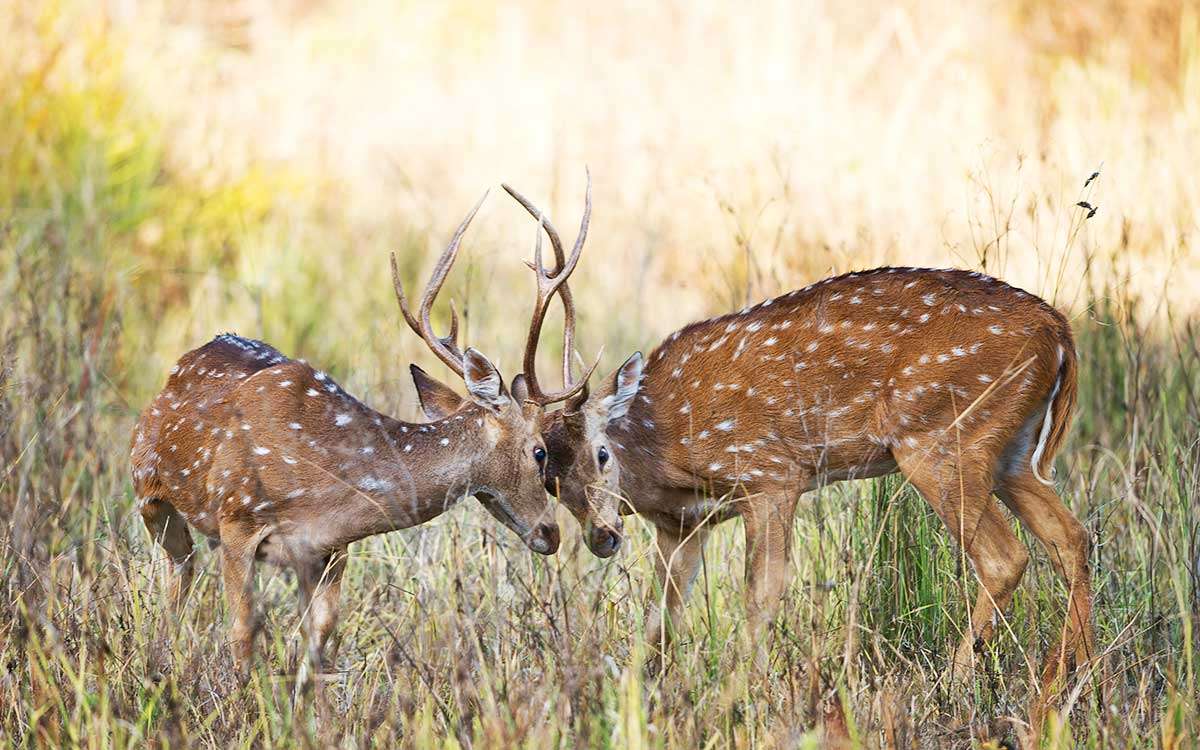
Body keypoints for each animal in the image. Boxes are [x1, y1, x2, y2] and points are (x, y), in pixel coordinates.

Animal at [131, 195, 585, 676]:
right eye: (540, 452)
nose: (552, 533)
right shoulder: (237, 519)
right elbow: (242, 632)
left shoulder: (331, 548)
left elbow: (321, 637)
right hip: (148, 491)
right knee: (180, 572)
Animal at [412, 181, 1099, 696]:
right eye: (549, 474)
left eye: (601, 452)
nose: (603, 538)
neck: (667, 453)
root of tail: (1059, 330)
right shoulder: (681, 525)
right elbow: (661, 620)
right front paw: (644, 696)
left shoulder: (771, 475)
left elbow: (759, 596)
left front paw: (746, 693)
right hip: (1011, 451)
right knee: (1072, 536)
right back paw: (1072, 682)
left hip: (939, 438)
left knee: (1005, 557)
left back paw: (957, 685)